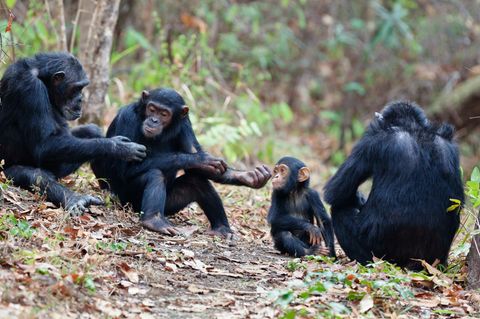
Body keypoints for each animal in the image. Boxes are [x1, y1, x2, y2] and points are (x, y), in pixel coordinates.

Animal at [0, 52, 146, 215]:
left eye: (82, 87)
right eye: (77, 88)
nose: (81, 99)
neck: (42, 77)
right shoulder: (31, 88)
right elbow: (44, 144)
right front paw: (117, 147)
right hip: (5, 172)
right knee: (36, 176)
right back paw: (75, 199)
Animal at [90, 87, 270, 238]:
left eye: (164, 114)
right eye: (152, 109)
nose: (153, 120)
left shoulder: (185, 124)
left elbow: (202, 169)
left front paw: (249, 176)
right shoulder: (127, 118)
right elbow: (124, 166)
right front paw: (200, 159)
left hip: (169, 205)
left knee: (197, 182)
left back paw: (222, 228)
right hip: (124, 200)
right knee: (154, 175)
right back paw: (154, 221)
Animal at [324, 102, 464, 270]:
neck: (414, 129)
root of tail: (414, 263)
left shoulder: (371, 140)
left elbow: (335, 192)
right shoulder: (450, 145)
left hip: (379, 252)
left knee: (341, 211)